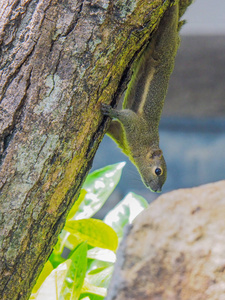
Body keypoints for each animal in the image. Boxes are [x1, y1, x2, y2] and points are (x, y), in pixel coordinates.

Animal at [101, 1, 179, 192]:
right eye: (158, 171)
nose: (157, 190)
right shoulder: (136, 127)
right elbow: (126, 116)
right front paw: (111, 111)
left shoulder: (123, 135)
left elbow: (114, 127)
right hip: (164, 42)